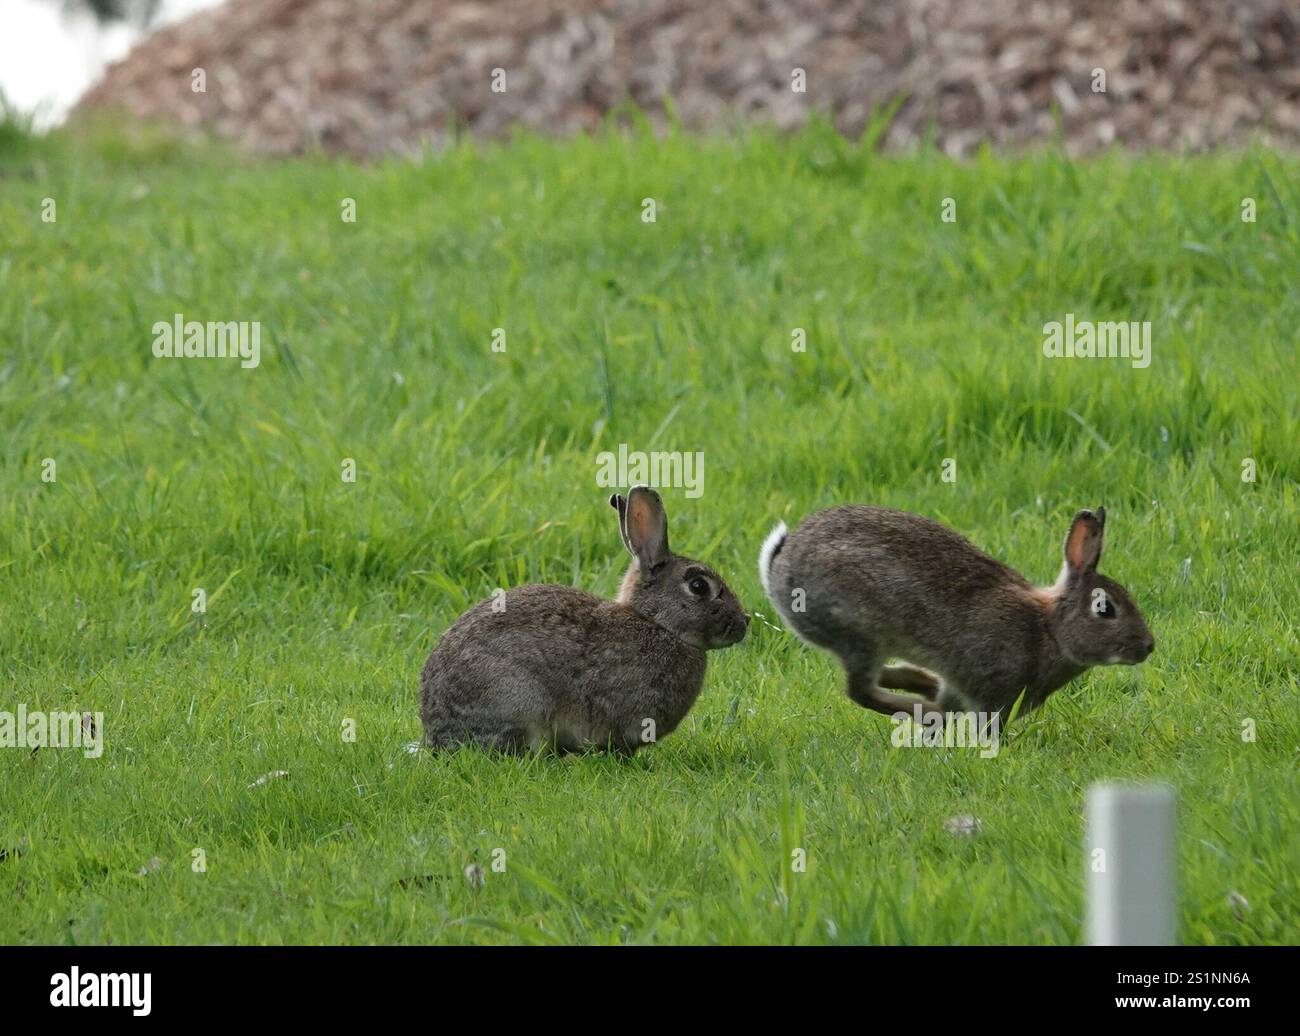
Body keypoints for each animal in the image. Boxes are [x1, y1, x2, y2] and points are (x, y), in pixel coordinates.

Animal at [759, 505, 1153, 726]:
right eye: (1104, 609)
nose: (1148, 646)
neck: (1048, 630)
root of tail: (779, 567)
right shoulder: (990, 688)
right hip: (859, 631)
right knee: (860, 690)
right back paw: (920, 710)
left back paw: (924, 690)